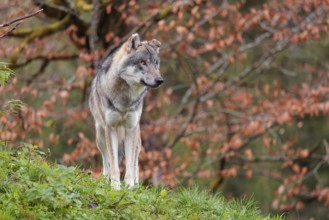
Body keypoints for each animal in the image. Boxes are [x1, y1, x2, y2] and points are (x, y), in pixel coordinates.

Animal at [88, 33, 163, 189]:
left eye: (156, 63)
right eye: (143, 62)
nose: (160, 80)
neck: (125, 99)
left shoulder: (131, 129)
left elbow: (129, 166)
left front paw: (130, 188)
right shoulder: (110, 128)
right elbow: (114, 165)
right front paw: (115, 188)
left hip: (137, 139)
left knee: (135, 163)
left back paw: (136, 185)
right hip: (100, 136)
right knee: (106, 161)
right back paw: (105, 180)